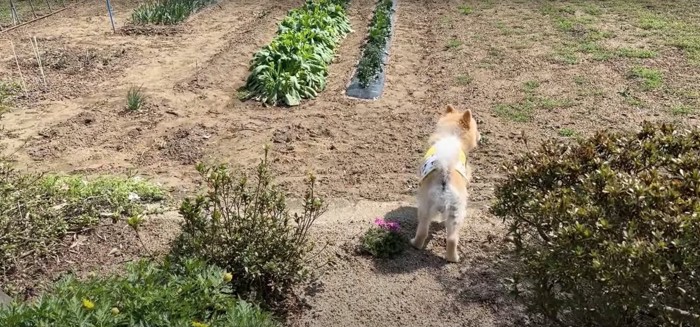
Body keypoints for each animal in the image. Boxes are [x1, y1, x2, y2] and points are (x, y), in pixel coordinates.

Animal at [410, 104, 482, 262]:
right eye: (476, 127)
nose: (480, 135)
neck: (451, 136)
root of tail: (445, 172)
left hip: (432, 208)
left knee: (431, 234)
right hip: (451, 210)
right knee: (441, 235)